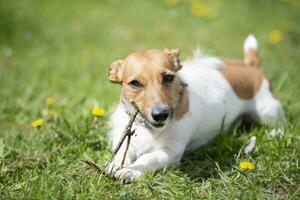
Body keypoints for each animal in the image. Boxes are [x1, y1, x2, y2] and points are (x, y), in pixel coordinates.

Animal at [106, 34, 284, 183]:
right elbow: (122, 153)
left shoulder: (170, 152)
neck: (148, 129)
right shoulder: (124, 138)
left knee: (281, 123)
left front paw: (130, 171)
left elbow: (147, 158)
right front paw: (115, 165)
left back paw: (275, 133)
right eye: (134, 83)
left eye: (168, 77)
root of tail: (250, 65)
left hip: (267, 110)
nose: (161, 114)